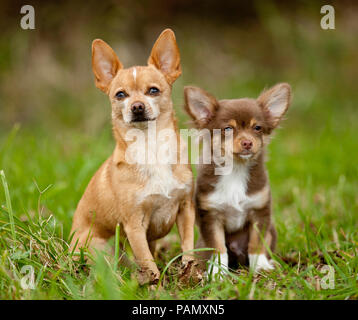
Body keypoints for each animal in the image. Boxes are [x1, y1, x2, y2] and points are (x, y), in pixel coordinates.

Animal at [70, 29, 196, 284]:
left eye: (153, 90)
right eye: (120, 95)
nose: (137, 106)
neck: (151, 147)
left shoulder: (186, 209)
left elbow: (189, 247)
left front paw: (190, 275)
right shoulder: (135, 225)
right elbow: (148, 263)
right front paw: (157, 286)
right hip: (100, 248)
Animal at [185, 84, 290, 276]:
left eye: (257, 128)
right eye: (228, 129)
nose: (247, 143)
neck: (235, 170)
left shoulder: (260, 212)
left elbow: (256, 244)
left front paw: (261, 267)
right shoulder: (211, 217)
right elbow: (219, 248)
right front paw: (218, 273)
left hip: (271, 230)